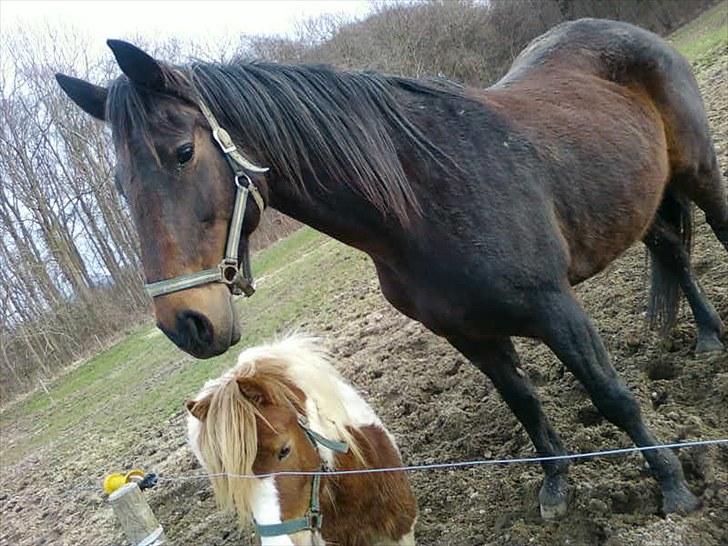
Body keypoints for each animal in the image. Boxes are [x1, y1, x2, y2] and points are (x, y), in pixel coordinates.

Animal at [58, 19, 728, 516]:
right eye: (119, 183)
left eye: (182, 153)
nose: (186, 324)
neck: (423, 201)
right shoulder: (467, 333)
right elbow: (525, 404)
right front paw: (557, 488)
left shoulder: (555, 308)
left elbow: (611, 396)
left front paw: (674, 488)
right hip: (637, 203)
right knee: (672, 250)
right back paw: (706, 337)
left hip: (698, 172)